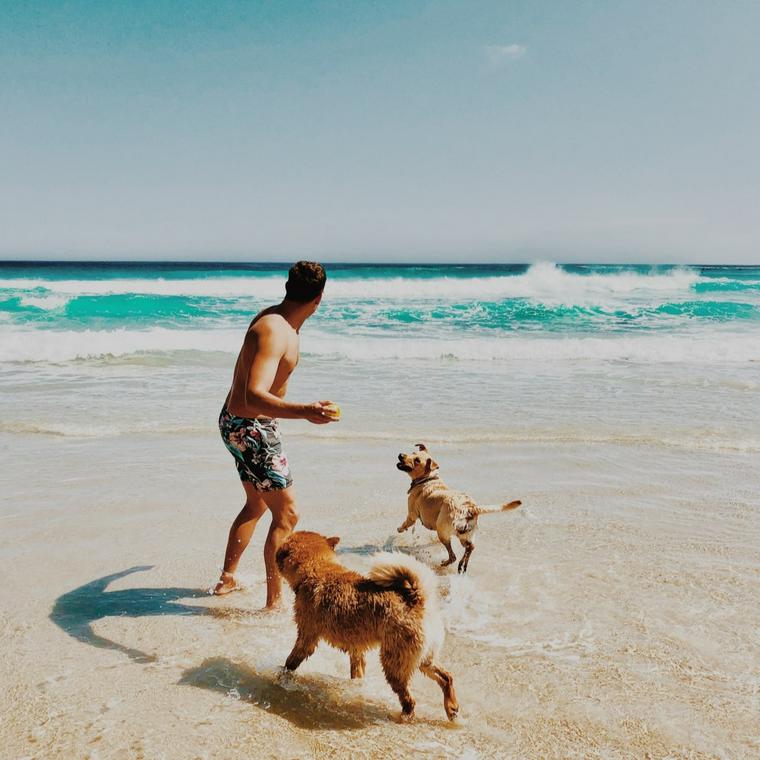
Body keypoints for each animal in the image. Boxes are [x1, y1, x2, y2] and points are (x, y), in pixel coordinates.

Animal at [274, 532, 458, 720]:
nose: (276, 552)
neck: (317, 569)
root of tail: (417, 600)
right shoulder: (356, 648)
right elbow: (357, 670)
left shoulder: (307, 637)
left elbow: (291, 662)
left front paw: (282, 677)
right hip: (423, 658)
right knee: (446, 677)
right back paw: (451, 707)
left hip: (394, 662)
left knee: (410, 700)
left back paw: (403, 716)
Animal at [394, 442, 520, 572]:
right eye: (412, 453)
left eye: (417, 460)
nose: (401, 455)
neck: (427, 478)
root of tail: (470, 508)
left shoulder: (412, 515)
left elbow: (405, 523)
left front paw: (399, 529)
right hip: (465, 534)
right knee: (470, 547)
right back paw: (463, 564)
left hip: (442, 530)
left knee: (453, 555)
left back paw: (445, 563)